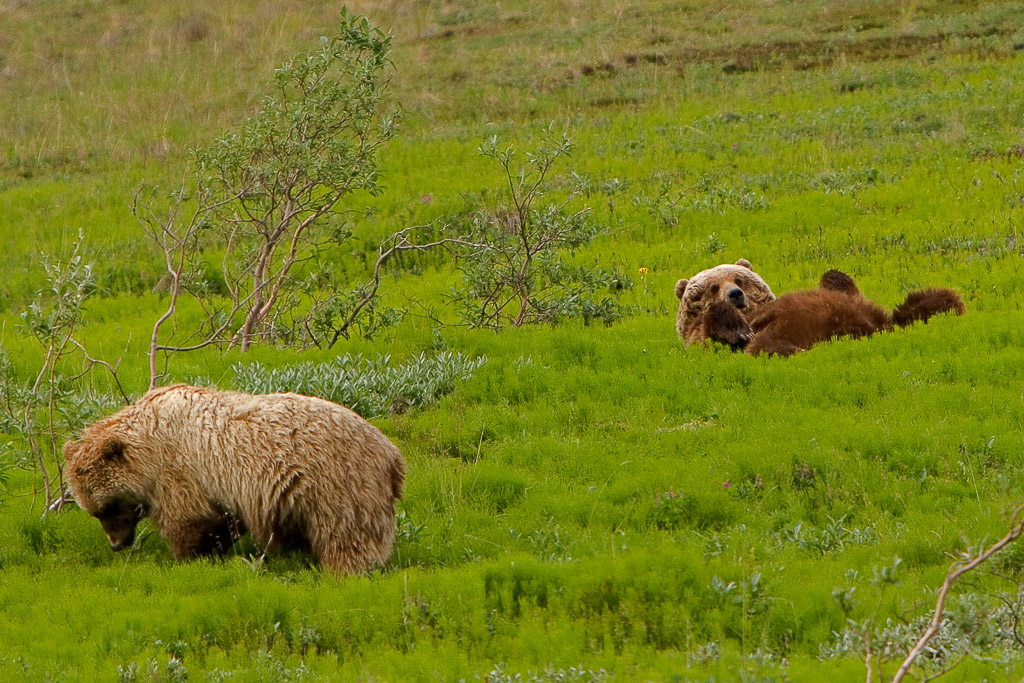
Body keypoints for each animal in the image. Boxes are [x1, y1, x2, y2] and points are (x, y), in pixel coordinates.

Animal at [60, 387, 407, 573]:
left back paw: (348, 568)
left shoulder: (178, 471)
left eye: (108, 507)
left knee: (346, 534)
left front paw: (189, 556)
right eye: (94, 512)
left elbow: (187, 520)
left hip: (337, 484)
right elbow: (222, 522)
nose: (117, 544)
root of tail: (392, 454)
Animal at [675, 260, 962, 358]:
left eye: (739, 279)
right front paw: (738, 330)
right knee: (767, 347)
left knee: (912, 308)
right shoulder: (701, 341)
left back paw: (948, 304)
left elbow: (837, 281)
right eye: (713, 286)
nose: (735, 294)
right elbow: (716, 335)